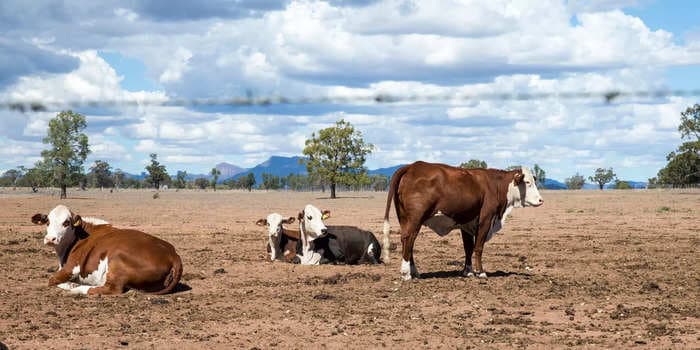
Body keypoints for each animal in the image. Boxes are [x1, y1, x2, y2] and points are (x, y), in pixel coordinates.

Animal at [30, 205, 183, 296]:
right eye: (48, 222)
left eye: (66, 223)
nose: (50, 239)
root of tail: (173, 254)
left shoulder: (71, 268)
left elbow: (51, 280)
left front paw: (71, 284)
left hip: (116, 259)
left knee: (111, 289)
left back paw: (77, 288)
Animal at [380, 163, 544, 280]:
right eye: (527, 182)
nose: (541, 200)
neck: (495, 185)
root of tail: (411, 166)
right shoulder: (485, 219)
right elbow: (478, 247)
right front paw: (480, 272)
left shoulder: (466, 224)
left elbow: (468, 248)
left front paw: (468, 271)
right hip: (415, 219)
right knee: (408, 239)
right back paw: (406, 273)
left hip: (404, 219)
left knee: (407, 242)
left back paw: (414, 272)